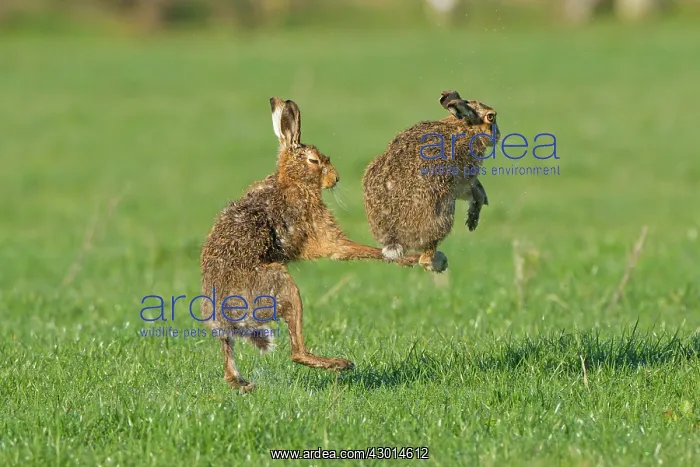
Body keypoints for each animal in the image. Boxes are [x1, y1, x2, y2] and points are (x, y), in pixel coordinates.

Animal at [200, 97, 439, 393]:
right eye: (314, 160)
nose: (335, 179)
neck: (291, 179)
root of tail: (226, 313)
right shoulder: (320, 230)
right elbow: (346, 249)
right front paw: (415, 258)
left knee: (229, 356)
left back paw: (242, 384)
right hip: (282, 286)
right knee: (296, 351)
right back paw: (341, 364)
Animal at [362, 90, 501, 271]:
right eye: (491, 117)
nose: (497, 136)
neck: (466, 127)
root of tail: (394, 238)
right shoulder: (465, 179)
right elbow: (475, 192)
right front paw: (473, 218)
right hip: (444, 211)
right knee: (425, 258)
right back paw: (440, 262)